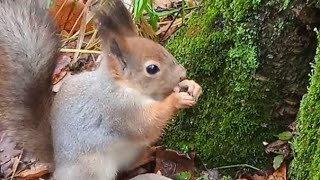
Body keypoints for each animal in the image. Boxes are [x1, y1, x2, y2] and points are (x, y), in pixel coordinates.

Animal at [0, 0, 201, 180]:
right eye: (152, 68)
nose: (182, 73)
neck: (124, 86)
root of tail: (58, 165)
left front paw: (192, 85)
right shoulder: (119, 110)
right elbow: (147, 124)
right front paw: (177, 99)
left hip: (131, 151)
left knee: (128, 164)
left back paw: (147, 155)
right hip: (93, 167)